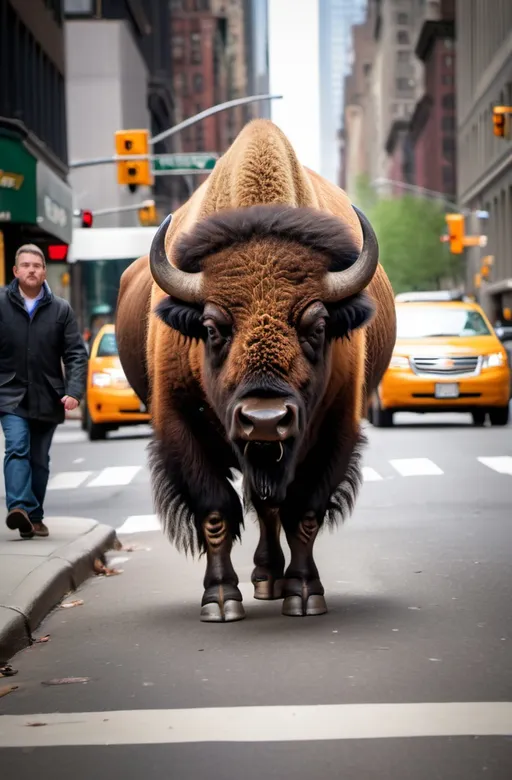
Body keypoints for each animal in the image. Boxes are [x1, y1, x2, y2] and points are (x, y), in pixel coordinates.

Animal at [117, 120, 396, 620]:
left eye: (318, 325)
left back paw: (272, 580)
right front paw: (220, 600)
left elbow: (304, 511)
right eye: (210, 328)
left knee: (272, 506)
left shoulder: (333, 431)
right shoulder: (180, 425)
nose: (264, 420)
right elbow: (215, 511)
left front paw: (304, 594)